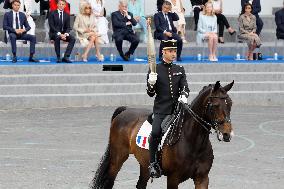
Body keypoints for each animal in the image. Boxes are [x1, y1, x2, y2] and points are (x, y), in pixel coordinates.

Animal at [91, 80, 235, 188]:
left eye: (230, 104)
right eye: (215, 105)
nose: (227, 134)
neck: (192, 141)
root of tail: (125, 110)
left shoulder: (202, 178)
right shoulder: (173, 179)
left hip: (145, 164)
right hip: (117, 159)